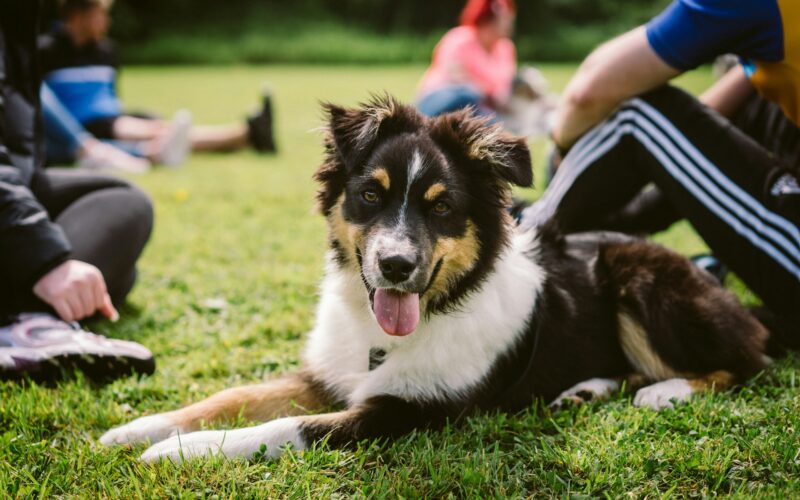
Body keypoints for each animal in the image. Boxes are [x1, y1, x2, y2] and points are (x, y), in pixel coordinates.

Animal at [100, 95, 768, 462]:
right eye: (371, 195)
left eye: (442, 207)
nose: (396, 266)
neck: (389, 337)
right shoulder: (329, 375)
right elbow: (234, 396)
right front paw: (136, 429)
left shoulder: (406, 412)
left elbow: (282, 428)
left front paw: (179, 452)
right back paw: (586, 390)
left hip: (641, 277)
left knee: (747, 362)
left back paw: (665, 390)